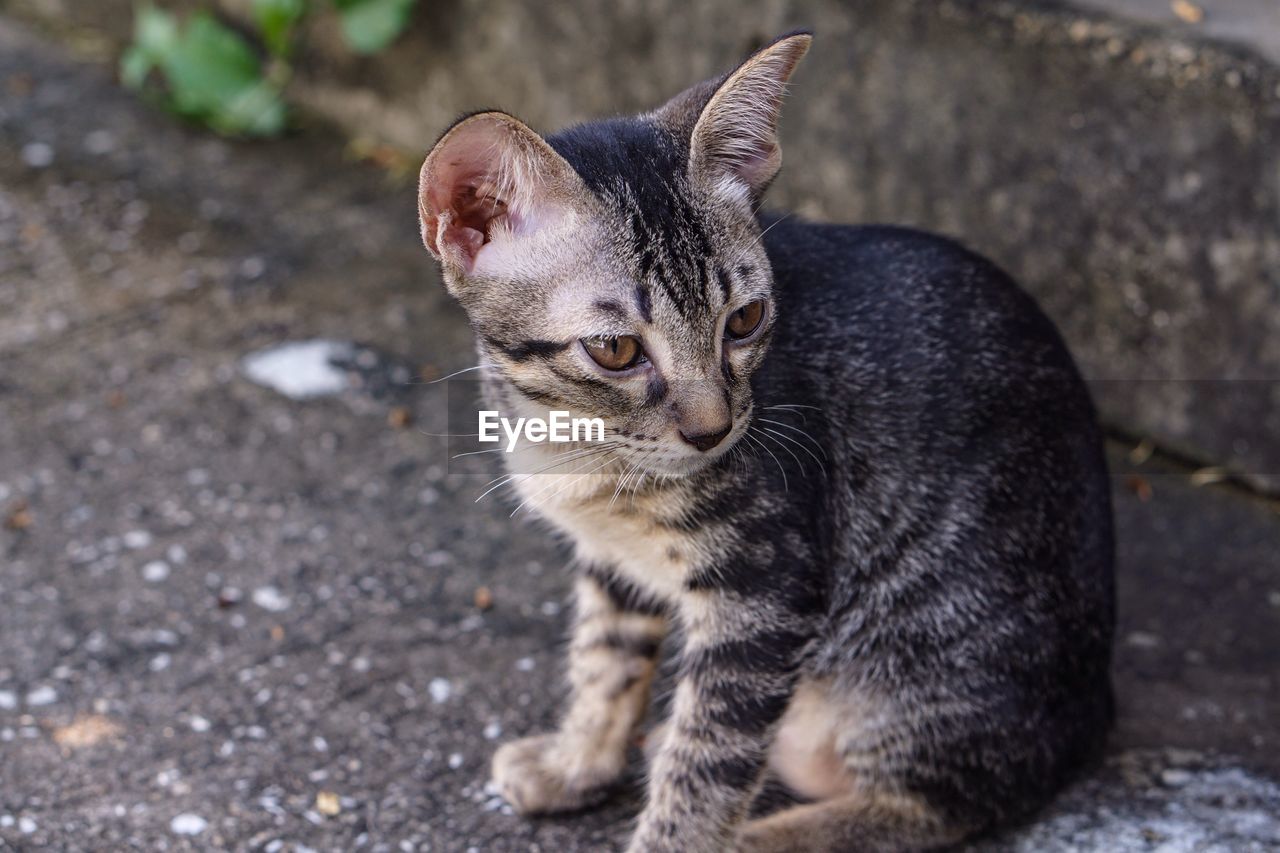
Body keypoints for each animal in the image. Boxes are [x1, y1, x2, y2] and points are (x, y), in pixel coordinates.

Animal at [417, 29, 1111, 845]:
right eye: (616, 350)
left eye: (744, 321)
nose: (713, 429)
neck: (580, 445)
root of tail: (1091, 712)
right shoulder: (613, 559)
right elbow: (606, 659)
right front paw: (577, 761)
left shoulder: (766, 592)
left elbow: (707, 760)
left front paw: (669, 833)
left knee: (936, 804)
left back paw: (762, 835)